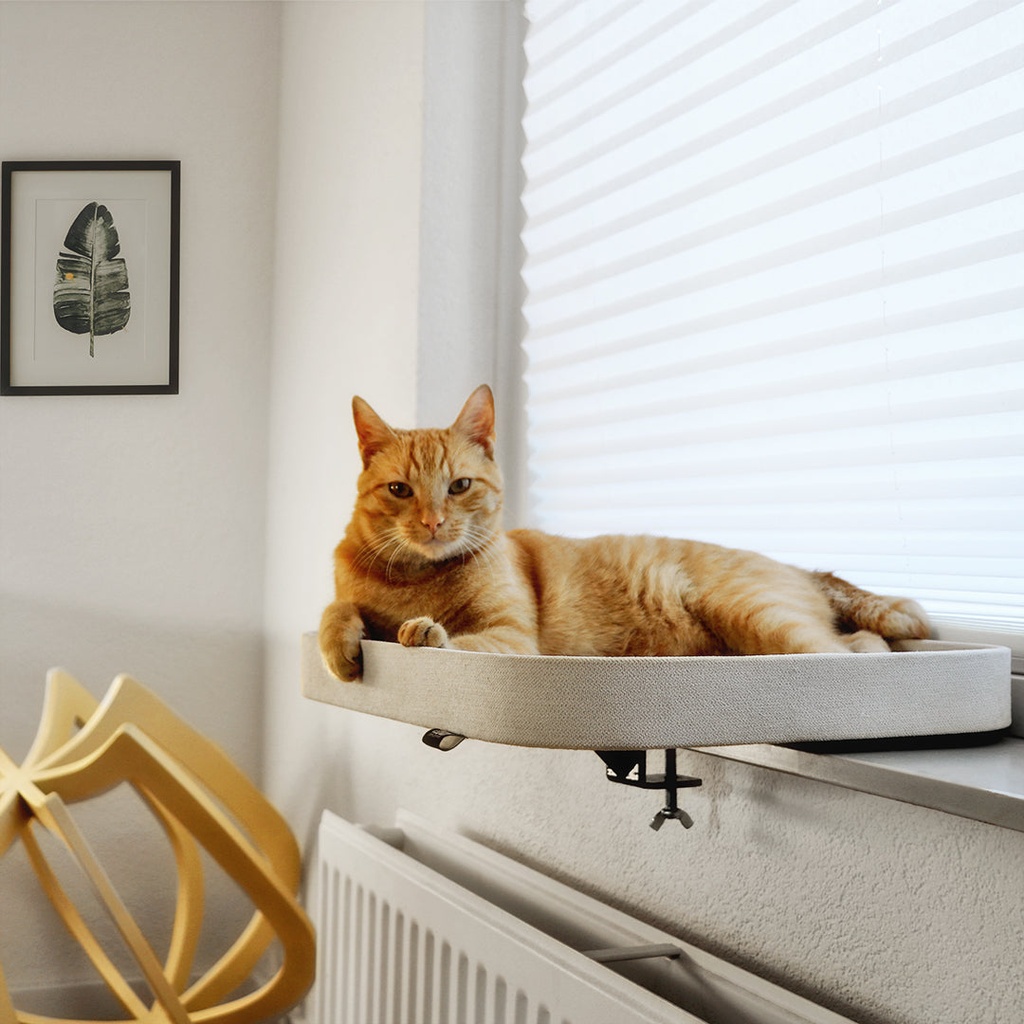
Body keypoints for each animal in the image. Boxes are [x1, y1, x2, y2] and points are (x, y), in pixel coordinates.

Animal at [317, 385, 929, 679]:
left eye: (460, 485)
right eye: (400, 490)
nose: (433, 522)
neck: (414, 580)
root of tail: (797, 566)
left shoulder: (512, 639)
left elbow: (459, 639)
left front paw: (425, 632)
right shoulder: (348, 594)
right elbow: (336, 610)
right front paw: (340, 648)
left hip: (764, 620)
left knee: (852, 652)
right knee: (859, 643)